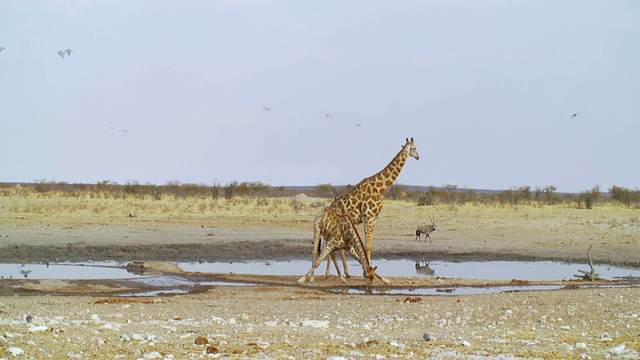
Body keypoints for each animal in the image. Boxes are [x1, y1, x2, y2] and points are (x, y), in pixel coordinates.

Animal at [324, 138, 420, 278]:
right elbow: (367, 245)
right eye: (414, 147)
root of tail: (330, 206)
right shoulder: (368, 217)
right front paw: (367, 270)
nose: (418, 157)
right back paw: (334, 273)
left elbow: (370, 245)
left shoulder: (374, 218)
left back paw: (339, 273)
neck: (379, 189)